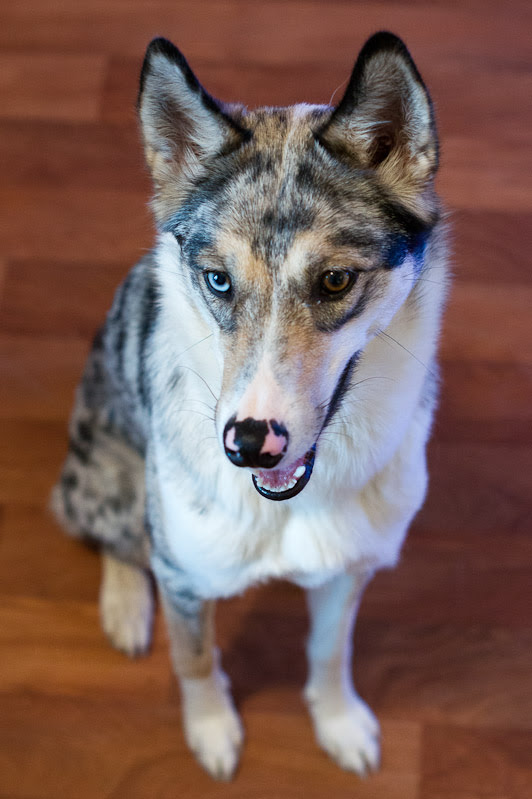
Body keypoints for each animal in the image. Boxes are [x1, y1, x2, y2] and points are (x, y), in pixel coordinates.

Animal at [52, 31, 446, 780]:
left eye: (334, 280)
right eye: (217, 281)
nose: (250, 443)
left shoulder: (348, 570)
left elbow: (330, 651)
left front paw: (339, 721)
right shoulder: (184, 577)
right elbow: (194, 658)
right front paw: (211, 730)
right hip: (107, 478)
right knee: (116, 538)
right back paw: (124, 607)